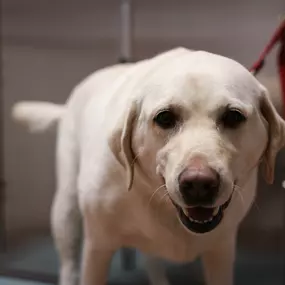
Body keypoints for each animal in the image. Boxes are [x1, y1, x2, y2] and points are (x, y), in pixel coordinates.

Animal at [11, 47, 284, 284]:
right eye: (164, 118)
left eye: (233, 116)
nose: (198, 184)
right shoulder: (98, 249)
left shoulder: (221, 252)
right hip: (66, 209)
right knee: (69, 263)